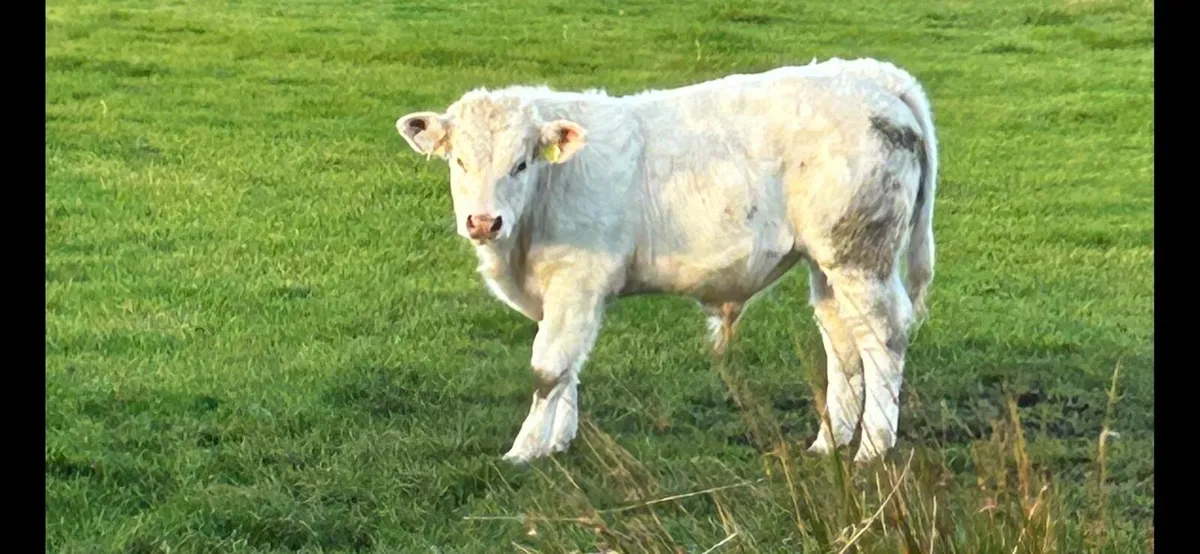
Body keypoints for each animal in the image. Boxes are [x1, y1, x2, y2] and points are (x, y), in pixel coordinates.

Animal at [394, 57, 938, 465]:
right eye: (459, 161)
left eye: (522, 163)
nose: (484, 221)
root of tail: (870, 77)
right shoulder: (560, 296)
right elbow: (567, 366)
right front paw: (558, 443)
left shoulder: (577, 282)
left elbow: (548, 367)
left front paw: (524, 452)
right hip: (826, 264)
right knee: (842, 341)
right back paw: (829, 443)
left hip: (860, 256)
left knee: (883, 338)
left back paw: (872, 450)